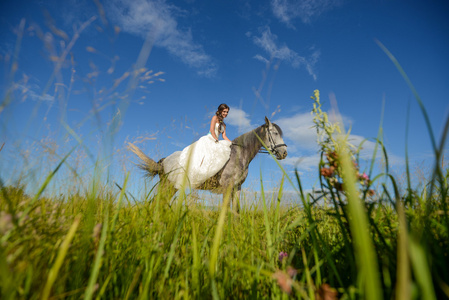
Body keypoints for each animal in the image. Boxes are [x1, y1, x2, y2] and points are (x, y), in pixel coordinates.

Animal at [127, 116, 288, 212]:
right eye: (274, 133)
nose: (284, 153)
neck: (239, 155)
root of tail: (164, 161)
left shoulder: (237, 187)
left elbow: (236, 211)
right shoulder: (227, 187)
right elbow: (225, 210)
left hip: (172, 187)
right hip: (168, 185)